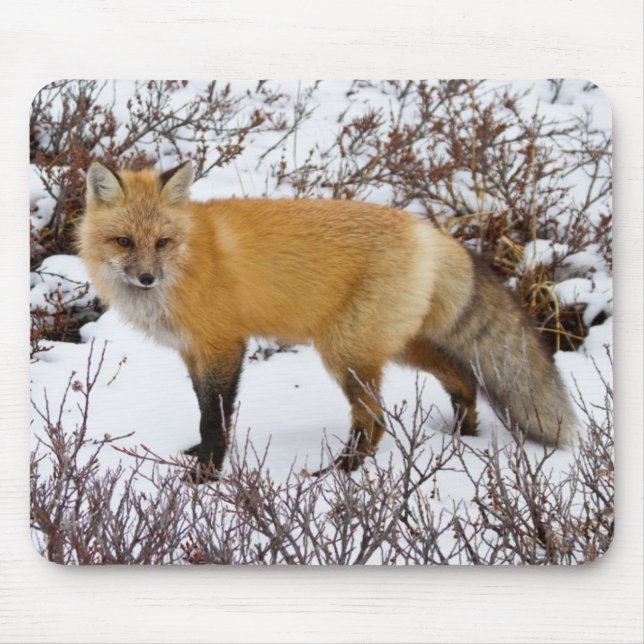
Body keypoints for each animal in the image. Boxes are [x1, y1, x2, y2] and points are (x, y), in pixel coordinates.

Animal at [78, 161, 576, 482]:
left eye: (162, 242)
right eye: (124, 242)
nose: (146, 278)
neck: (189, 263)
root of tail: (429, 231)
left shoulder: (224, 345)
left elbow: (214, 417)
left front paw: (206, 475)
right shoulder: (193, 352)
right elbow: (204, 409)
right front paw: (200, 458)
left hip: (345, 352)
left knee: (375, 419)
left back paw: (343, 472)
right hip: (392, 345)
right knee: (460, 376)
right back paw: (463, 434)